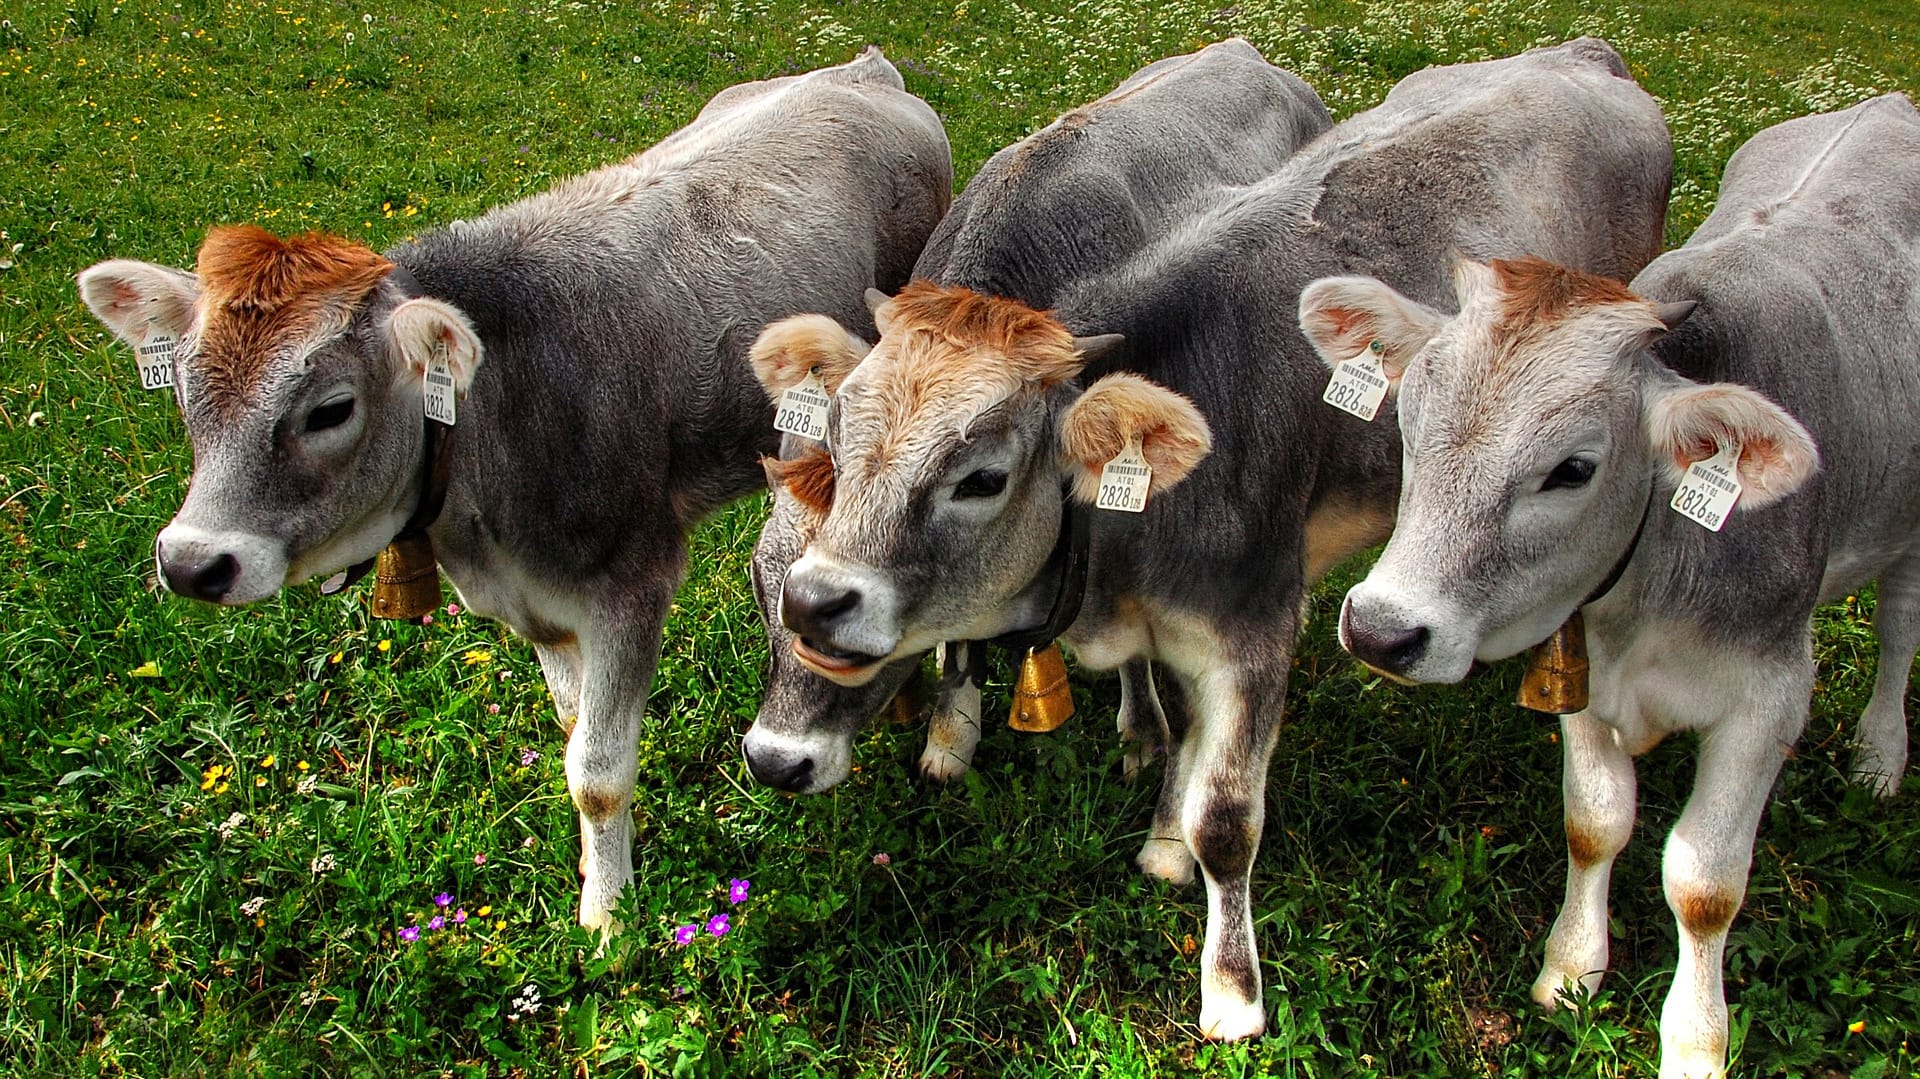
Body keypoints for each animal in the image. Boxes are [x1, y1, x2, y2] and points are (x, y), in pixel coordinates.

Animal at [76, 46, 952, 929]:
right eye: (184, 392)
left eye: (330, 409)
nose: (192, 562)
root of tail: (864, 66)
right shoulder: (538, 602)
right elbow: (572, 729)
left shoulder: (634, 580)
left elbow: (598, 772)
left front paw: (608, 916)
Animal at [1320, 94, 1920, 1075]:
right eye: (1406, 420)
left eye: (1573, 468)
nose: (1380, 631)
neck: (1647, 597)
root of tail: (1883, 103)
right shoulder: (1579, 661)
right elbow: (1594, 821)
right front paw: (1571, 968)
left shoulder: (1770, 693)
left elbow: (1705, 882)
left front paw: (1696, 1041)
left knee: (1903, 627)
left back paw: (1880, 753)